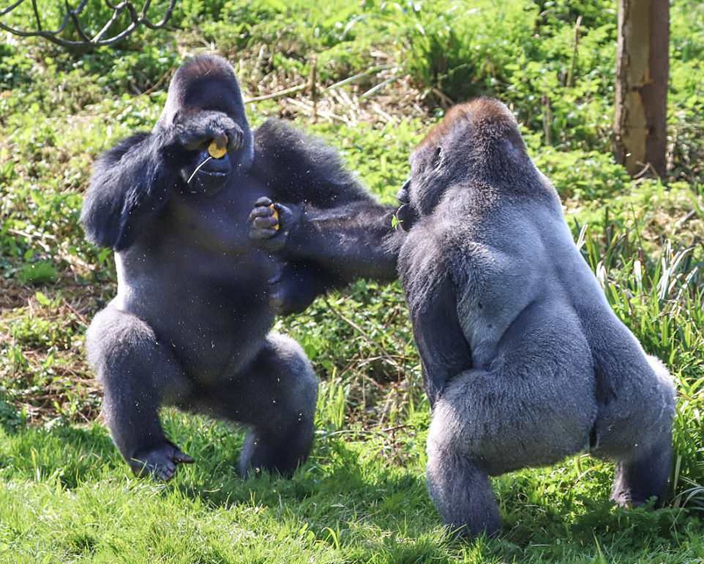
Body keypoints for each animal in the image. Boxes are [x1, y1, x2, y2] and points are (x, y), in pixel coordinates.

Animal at [81, 54, 402, 480]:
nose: (208, 158)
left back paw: (271, 472)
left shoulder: (287, 148)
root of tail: (193, 400)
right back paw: (149, 449)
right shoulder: (127, 147)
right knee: (121, 339)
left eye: (225, 145)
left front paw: (295, 266)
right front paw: (184, 132)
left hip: (230, 388)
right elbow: (102, 218)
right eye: (198, 144)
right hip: (176, 384)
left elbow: (366, 216)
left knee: (292, 382)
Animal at [396, 98, 676, 536]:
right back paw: (638, 503)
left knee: (451, 448)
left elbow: (443, 368)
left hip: (536, 420)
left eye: (415, 169)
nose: (402, 190)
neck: (494, 178)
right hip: (639, 402)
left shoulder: (421, 248)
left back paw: (477, 537)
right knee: (658, 417)